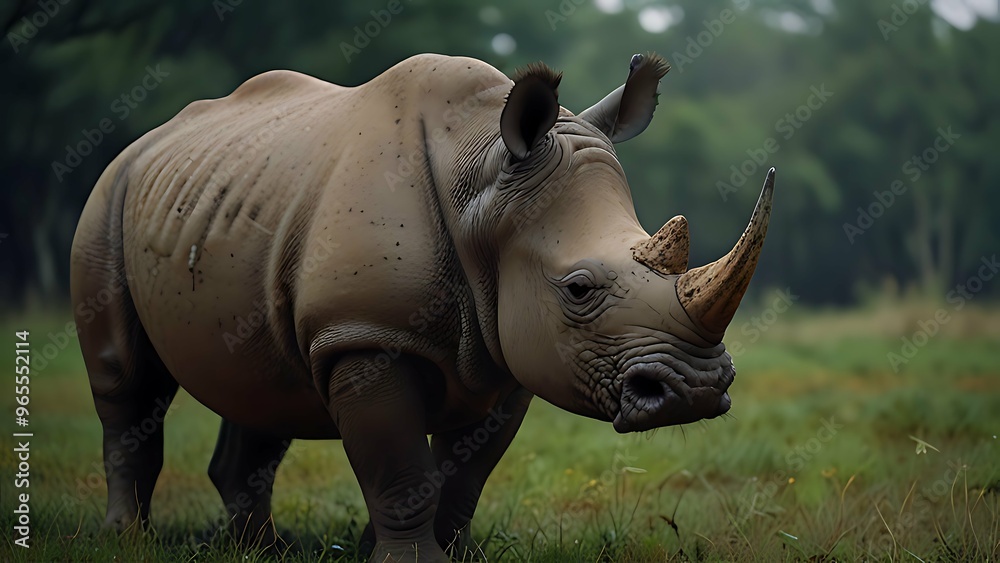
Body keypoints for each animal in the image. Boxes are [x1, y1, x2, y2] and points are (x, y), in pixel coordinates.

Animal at [70, 52, 774, 561]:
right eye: (578, 289)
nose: (696, 392)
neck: (482, 180)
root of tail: (149, 139)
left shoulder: (510, 351)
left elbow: (464, 475)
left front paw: (439, 554)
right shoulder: (363, 333)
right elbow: (401, 467)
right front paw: (407, 562)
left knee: (261, 384)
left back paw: (260, 552)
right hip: (108, 196)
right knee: (127, 383)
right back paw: (127, 541)